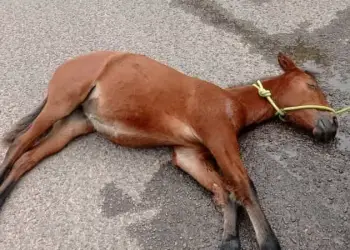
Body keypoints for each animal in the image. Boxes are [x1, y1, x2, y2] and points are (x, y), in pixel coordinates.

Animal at [0, 51, 340, 250]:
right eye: (311, 85)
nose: (333, 126)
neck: (231, 103)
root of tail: (69, 65)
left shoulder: (188, 154)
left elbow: (223, 191)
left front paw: (229, 242)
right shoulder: (218, 136)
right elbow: (244, 187)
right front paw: (268, 244)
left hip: (73, 124)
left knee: (29, 156)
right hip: (61, 103)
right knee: (19, 145)